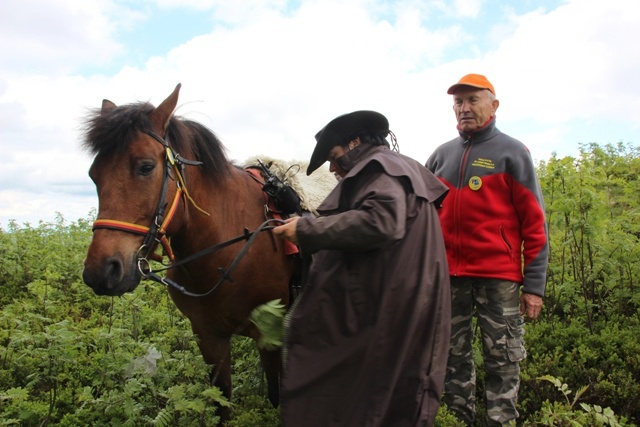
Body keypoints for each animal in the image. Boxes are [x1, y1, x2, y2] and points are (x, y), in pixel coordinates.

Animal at [81, 84, 298, 422]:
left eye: (146, 167)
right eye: (94, 174)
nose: (101, 271)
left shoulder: (271, 336)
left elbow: (277, 396)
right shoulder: (209, 337)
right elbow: (220, 401)